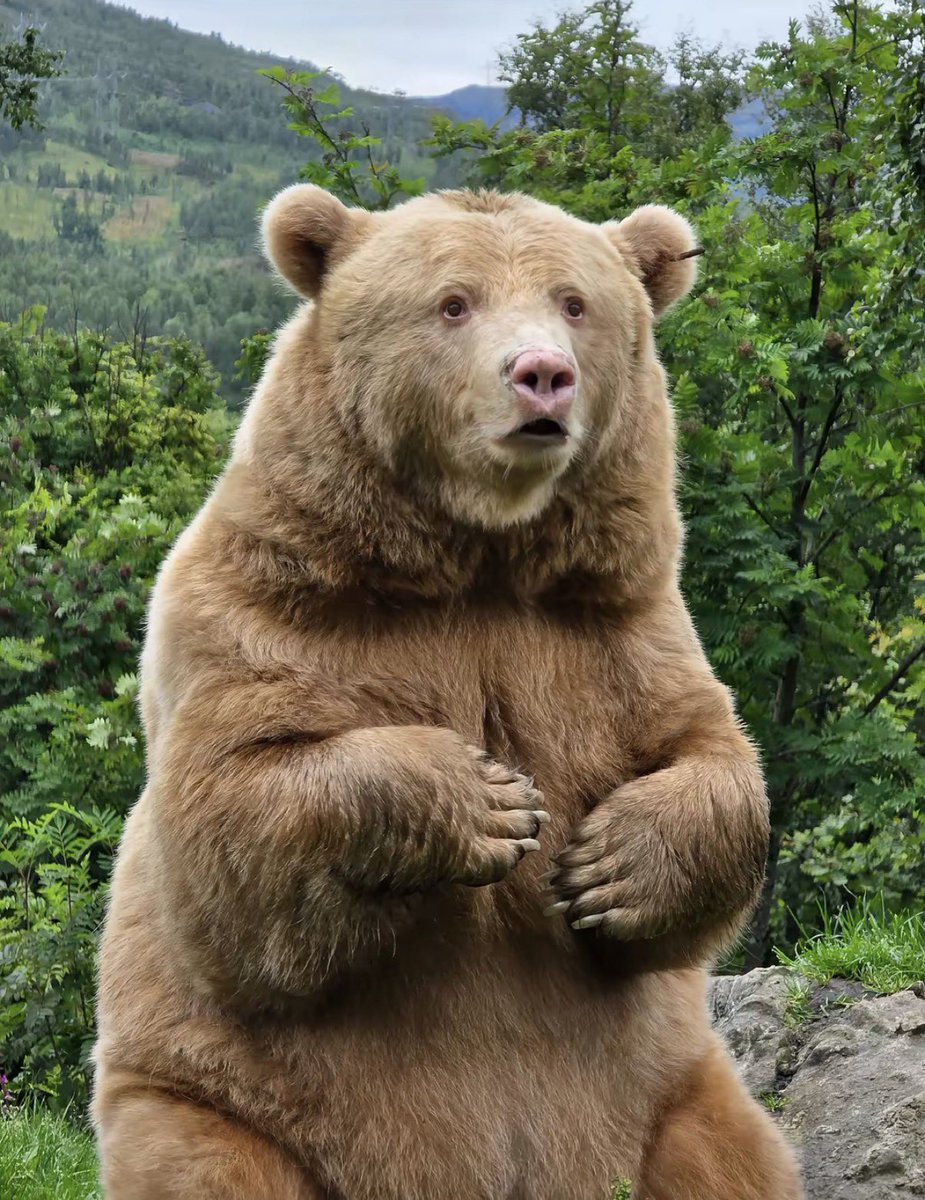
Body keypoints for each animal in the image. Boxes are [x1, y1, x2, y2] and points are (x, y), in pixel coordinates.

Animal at [92, 183, 804, 1200]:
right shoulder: (260, 610)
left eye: (573, 303)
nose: (542, 375)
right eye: (453, 303)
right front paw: (488, 802)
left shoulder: (615, 629)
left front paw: (608, 866)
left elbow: (710, 755)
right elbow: (234, 826)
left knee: (728, 1157)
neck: (480, 556)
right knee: (210, 1162)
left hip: (676, 1095)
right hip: (214, 1101)